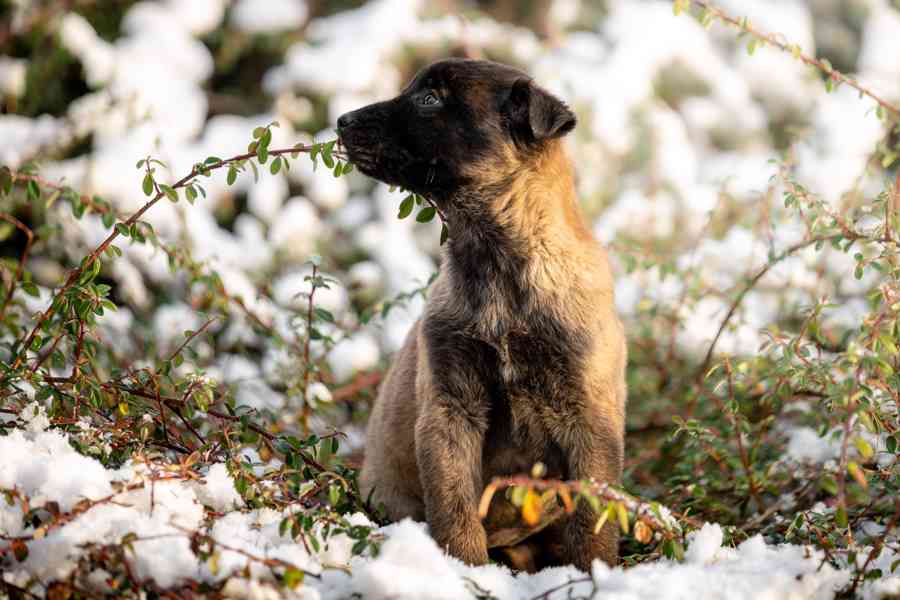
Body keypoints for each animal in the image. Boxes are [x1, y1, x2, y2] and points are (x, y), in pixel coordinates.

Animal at [338, 57, 624, 572]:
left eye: (429, 99)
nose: (341, 121)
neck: (498, 267)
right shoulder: (450, 410)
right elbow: (455, 510)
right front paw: (464, 571)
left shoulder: (590, 419)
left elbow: (593, 523)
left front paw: (594, 573)